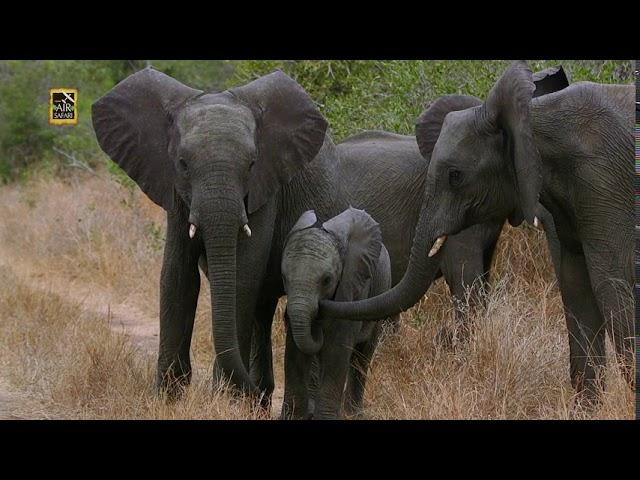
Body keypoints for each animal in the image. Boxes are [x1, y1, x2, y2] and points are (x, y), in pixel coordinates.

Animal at [92, 68, 348, 404]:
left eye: (252, 165)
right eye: (183, 164)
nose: (253, 394)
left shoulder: (266, 188)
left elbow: (242, 274)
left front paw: (225, 397)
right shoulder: (175, 191)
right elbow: (177, 275)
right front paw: (168, 397)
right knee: (261, 309)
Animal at [282, 208, 392, 418]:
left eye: (327, 280)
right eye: (284, 278)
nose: (317, 320)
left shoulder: (354, 287)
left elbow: (337, 349)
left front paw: (324, 418)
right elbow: (295, 352)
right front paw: (293, 417)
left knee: (362, 355)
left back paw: (353, 414)